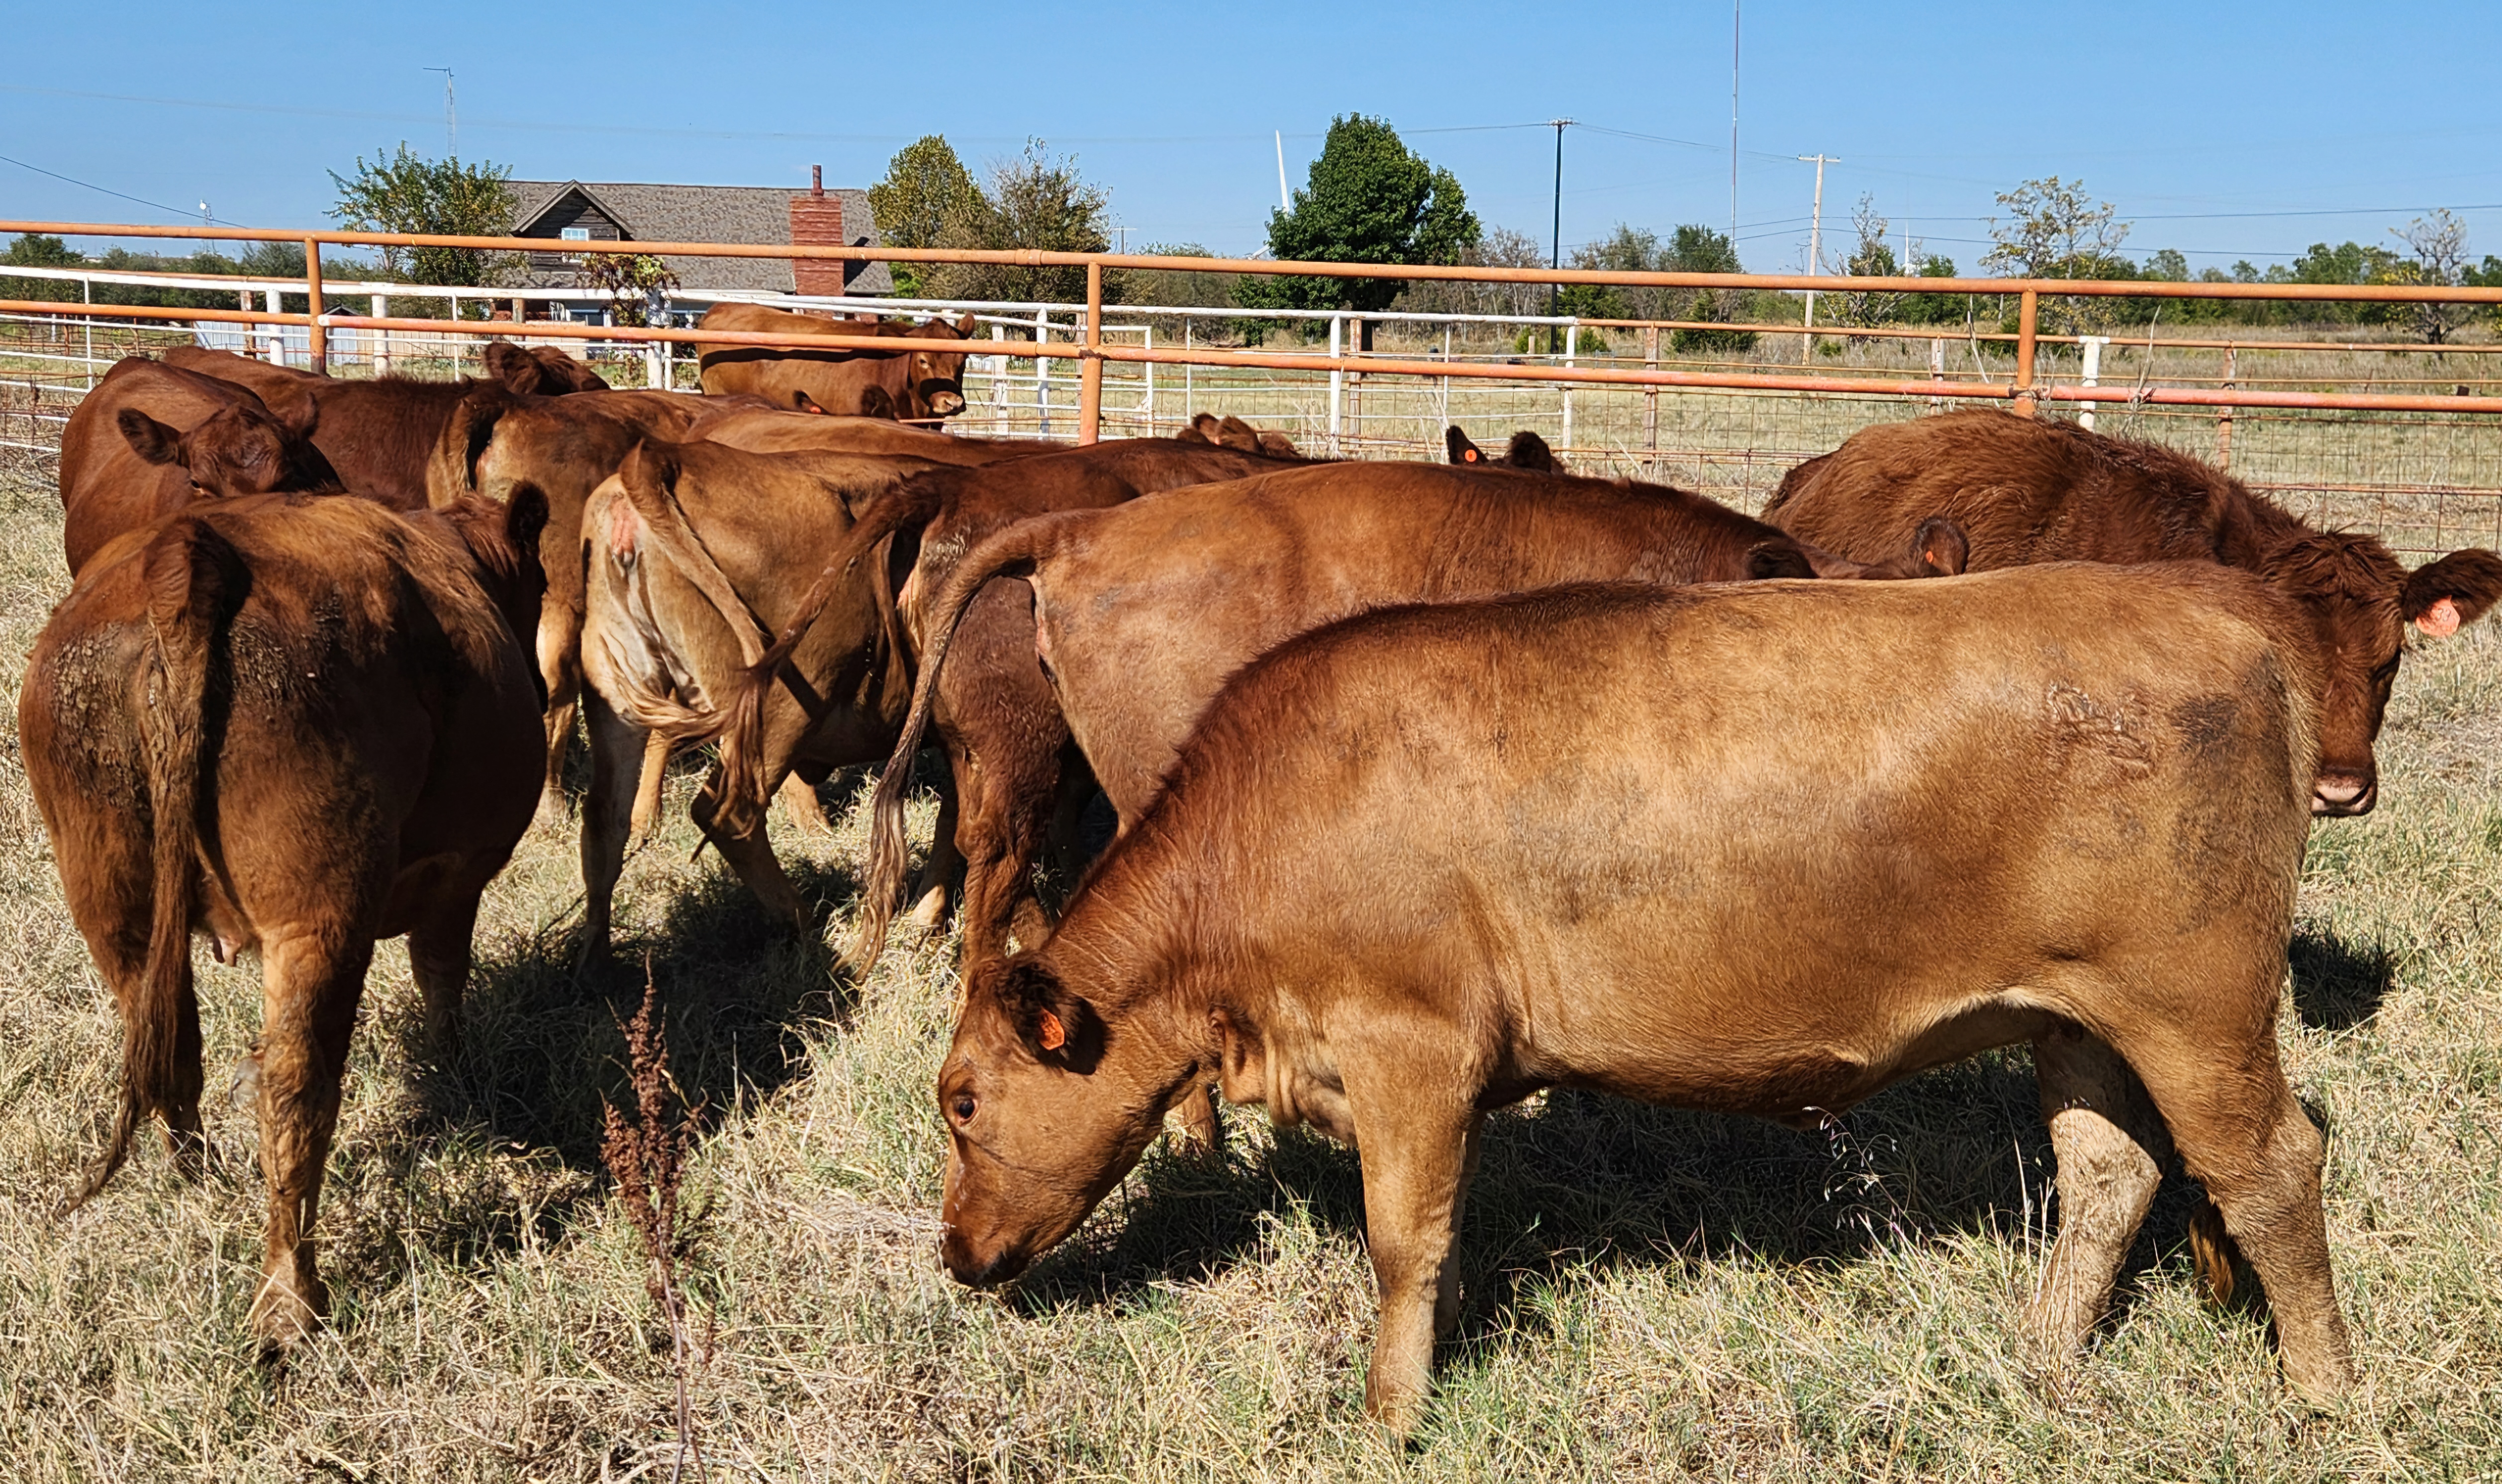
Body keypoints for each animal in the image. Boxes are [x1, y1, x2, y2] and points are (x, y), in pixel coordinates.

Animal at [22, 488, 550, 1351]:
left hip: (110, 898)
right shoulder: (458, 873)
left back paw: (196, 1175)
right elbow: (442, 978)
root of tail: (186, 558)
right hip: (319, 914)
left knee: (170, 1036)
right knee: (295, 1086)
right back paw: (290, 1300)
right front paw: (456, 1075)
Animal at [936, 560, 2342, 1431]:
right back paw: (2040, 1350)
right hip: (2076, 1015)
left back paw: (2321, 1390)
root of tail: (2224, 611)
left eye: (958, 1100)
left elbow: (1400, 1242)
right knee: (2110, 1176)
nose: (956, 1252)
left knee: (2271, 1166)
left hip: (2194, 1009)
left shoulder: (1407, 1046)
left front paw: (1386, 1413)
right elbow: (1443, 1235)